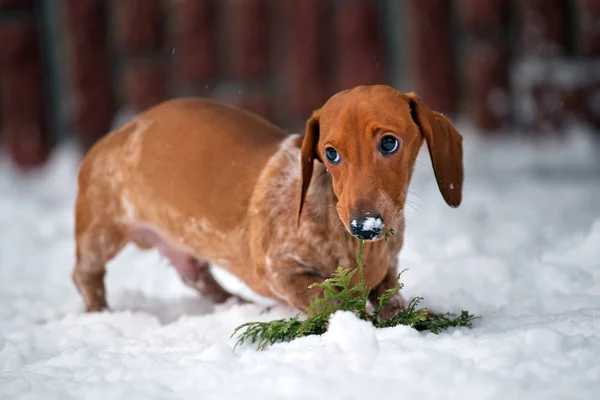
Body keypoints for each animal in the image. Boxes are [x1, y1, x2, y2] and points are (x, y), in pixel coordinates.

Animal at [71, 85, 464, 318]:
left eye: (389, 143)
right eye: (330, 154)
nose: (364, 225)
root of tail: (118, 131)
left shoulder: (389, 268)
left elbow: (389, 295)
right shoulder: (279, 269)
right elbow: (327, 299)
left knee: (196, 276)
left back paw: (235, 304)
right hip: (100, 233)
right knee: (86, 275)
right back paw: (100, 314)